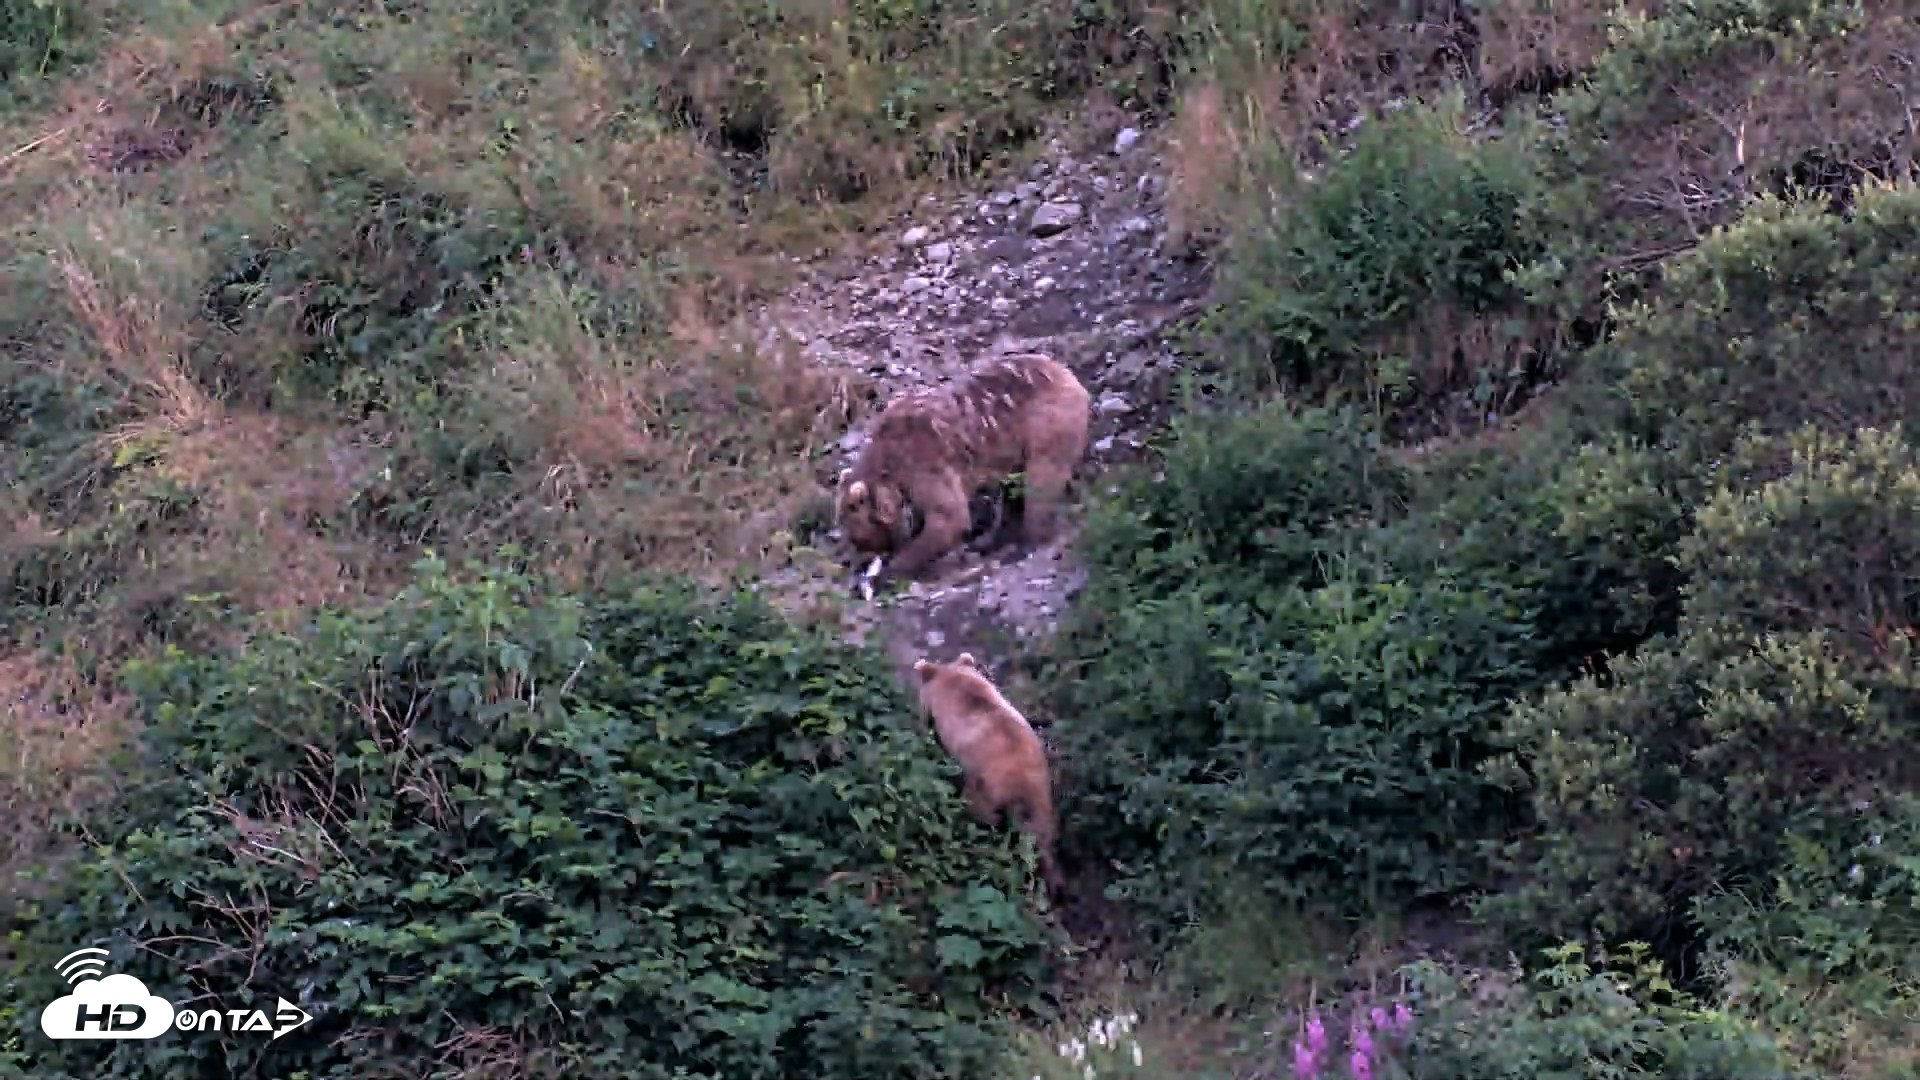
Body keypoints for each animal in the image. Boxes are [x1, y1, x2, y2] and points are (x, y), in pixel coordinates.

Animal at [836, 352, 1090, 585]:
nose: (864, 553)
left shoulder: (924, 461)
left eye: (858, 533)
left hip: (1046, 421)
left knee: (1043, 477)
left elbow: (949, 516)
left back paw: (1030, 538)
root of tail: (1068, 374)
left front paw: (893, 569)